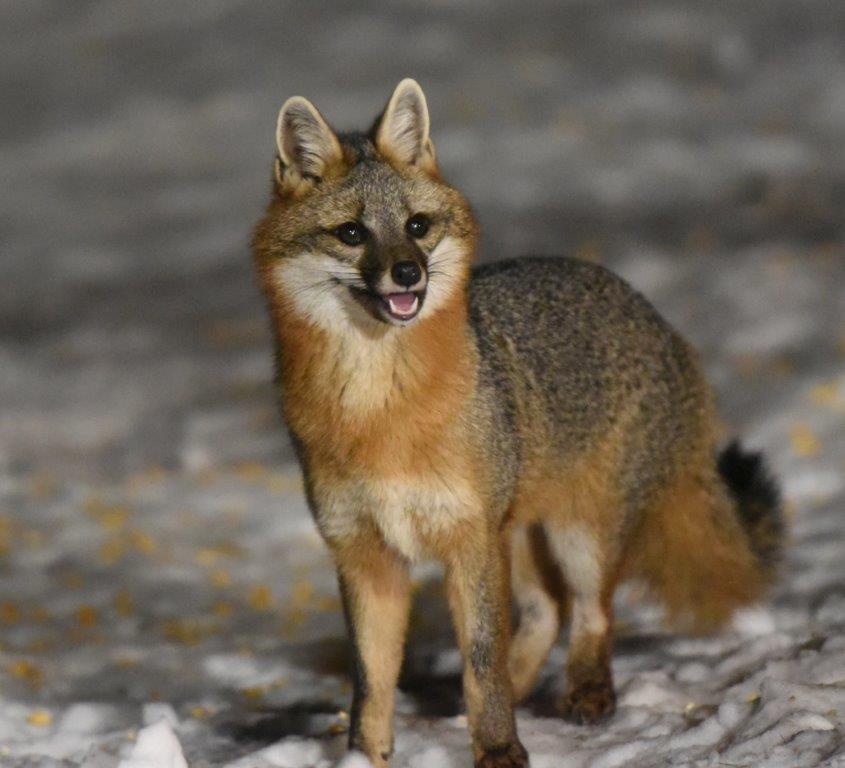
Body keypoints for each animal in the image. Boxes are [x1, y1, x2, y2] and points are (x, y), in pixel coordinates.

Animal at [251, 79, 784, 768]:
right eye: (350, 233)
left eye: (416, 227)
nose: (408, 273)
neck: (379, 417)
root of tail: (664, 324)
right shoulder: (364, 553)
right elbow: (372, 681)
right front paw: (363, 758)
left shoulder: (470, 539)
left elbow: (483, 658)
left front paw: (500, 748)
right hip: (523, 534)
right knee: (546, 613)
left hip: (577, 534)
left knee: (590, 611)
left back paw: (587, 692)